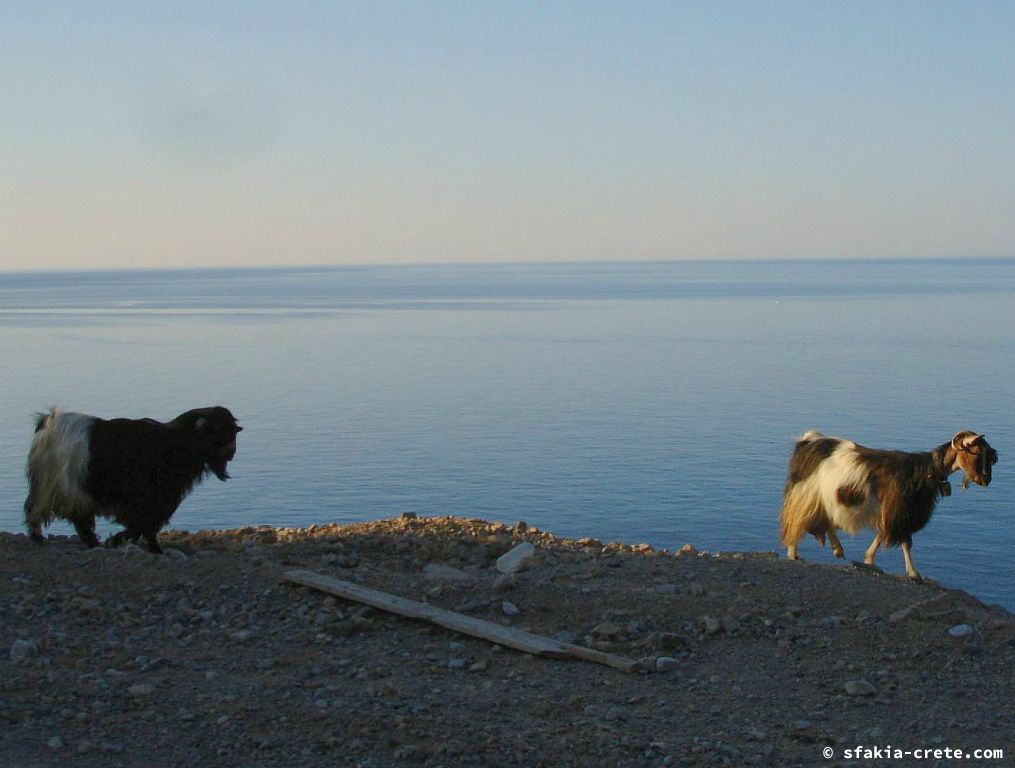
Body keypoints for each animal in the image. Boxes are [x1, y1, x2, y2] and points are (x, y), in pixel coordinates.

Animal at [779, 428, 994, 576]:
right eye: (975, 452)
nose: (986, 479)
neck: (923, 471)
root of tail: (807, 442)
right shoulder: (901, 511)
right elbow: (906, 542)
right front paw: (914, 573)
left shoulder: (891, 511)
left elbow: (883, 533)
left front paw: (869, 559)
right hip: (805, 495)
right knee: (798, 520)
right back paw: (793, 552)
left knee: (825, 520)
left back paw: (837, 549)